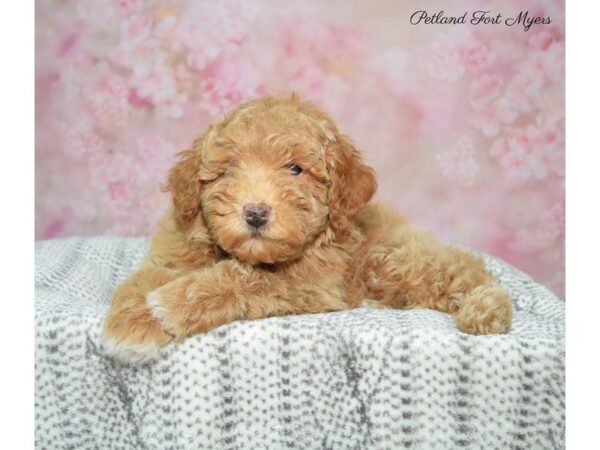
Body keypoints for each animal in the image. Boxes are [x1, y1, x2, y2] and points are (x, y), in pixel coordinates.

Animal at [102, 94, 510, 362]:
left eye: (295, 169)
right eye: (228, 169)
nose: (255, 213)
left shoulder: (310, 281)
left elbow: (245, 278)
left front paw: (171, 304)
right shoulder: (172, 253)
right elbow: (141, 282)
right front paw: (131, 327)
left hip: (392, 259)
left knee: (463, 268)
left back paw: (486, 308)